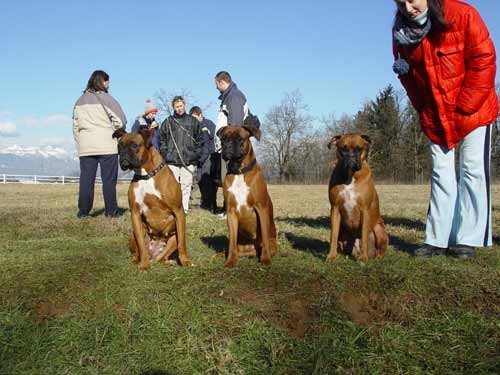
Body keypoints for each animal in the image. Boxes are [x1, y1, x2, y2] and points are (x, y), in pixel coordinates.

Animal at [112, 127, 190, 270]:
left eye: (134, 145)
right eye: (119, 146)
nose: (123, 154)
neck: (147, 175)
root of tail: (153, 256)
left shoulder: (178, 211)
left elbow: (182, 242)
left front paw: (185, 261)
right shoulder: (135, 214)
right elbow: (141, 246)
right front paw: (144, 265)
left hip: (172, 239)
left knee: (162, 257)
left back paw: (167, 262)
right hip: (133, 235)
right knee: (137, 253)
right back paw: (138, 261)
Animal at [215, 125, 278, 268]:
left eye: (240, 138)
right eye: (223, 138)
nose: (227, 144)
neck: (239, 172)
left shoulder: (261, 209)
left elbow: (264, 237)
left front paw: (265, 259)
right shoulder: (231, 212)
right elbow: (231, 242)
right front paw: (230, 261)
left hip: (272, 243)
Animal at [326, 134, 388, 262]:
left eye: (359, 149)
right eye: (343, 149)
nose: (351, 156)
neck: (351, 176)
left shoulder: (365, 210)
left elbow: (364, 236)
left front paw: (363, 258)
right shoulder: (335, 209)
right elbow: (333, 236)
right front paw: (331, 256)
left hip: (379, 229)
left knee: (379, 251)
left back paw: (375, 258)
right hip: (342, 231)